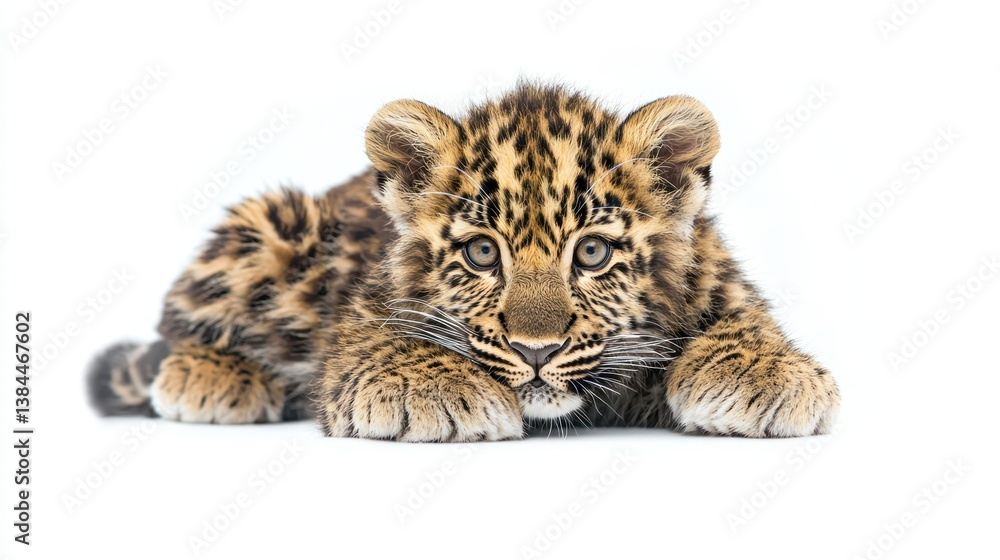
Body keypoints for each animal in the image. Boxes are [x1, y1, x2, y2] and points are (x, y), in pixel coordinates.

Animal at [87, 83, 840, 441]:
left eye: (592, 252)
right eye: (482, 253)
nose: (536, 351)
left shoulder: (717, 272)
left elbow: (744, 318)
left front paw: (767, 374)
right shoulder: (361, 314)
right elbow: (381, 340)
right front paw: (431, 389)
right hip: (267, 224)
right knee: (180, 325)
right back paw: (212, 376)